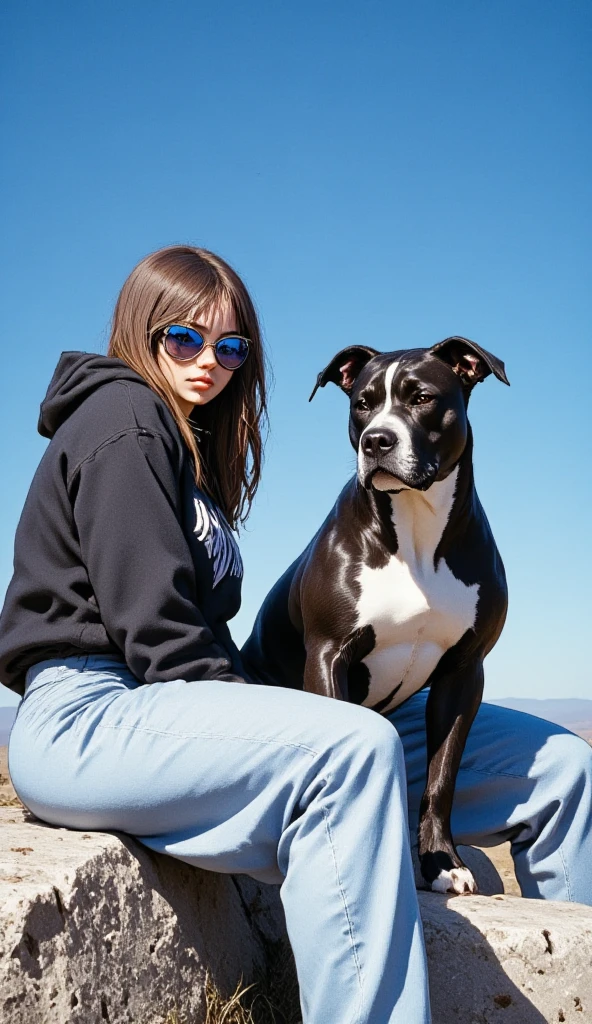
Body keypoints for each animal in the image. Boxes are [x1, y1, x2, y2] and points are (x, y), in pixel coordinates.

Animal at [239, 337, 508, 897]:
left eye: (421, 397)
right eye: (362, 404)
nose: (376, 440)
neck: (417, 531)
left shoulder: (464, 671)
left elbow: (440, 780)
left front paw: (442, 862)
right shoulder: (328, 653)